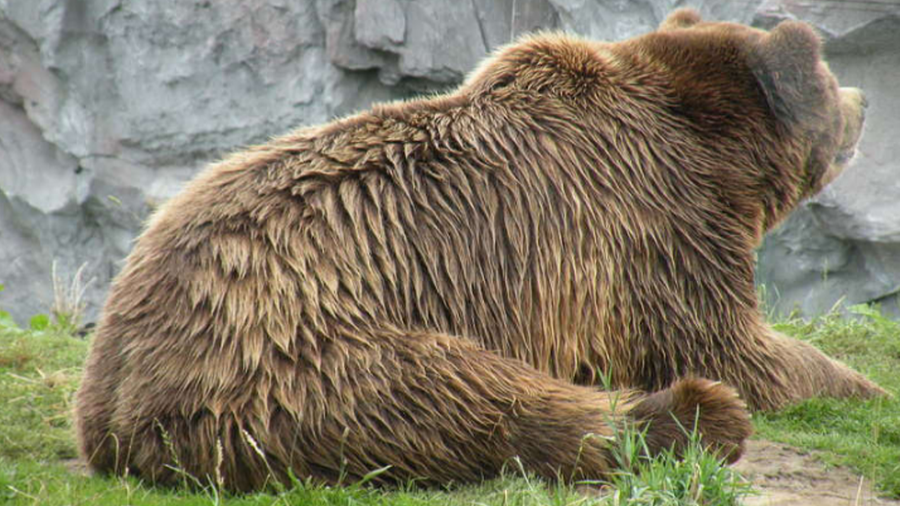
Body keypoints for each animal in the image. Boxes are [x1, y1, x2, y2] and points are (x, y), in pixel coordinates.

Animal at [75, 8, 882, 492]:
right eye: (828, 74)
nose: (867, 101)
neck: (711, 154)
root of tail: (116, 409)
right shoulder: (653, 232)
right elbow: (736, 347)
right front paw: (865, 386)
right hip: (295, 344)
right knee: (465, 398)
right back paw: (693, 416)